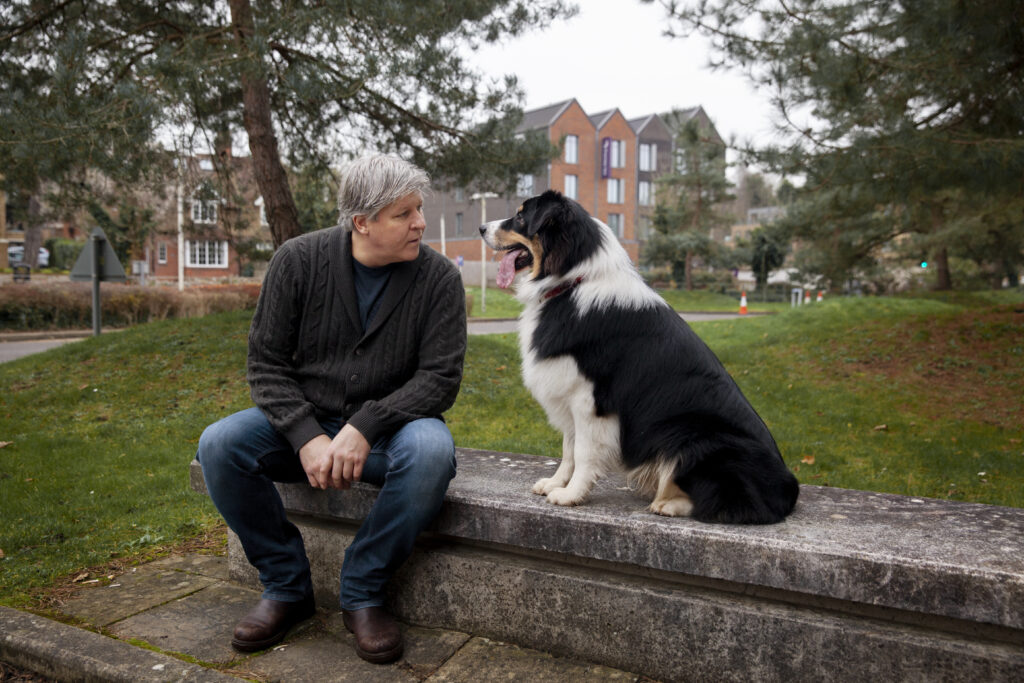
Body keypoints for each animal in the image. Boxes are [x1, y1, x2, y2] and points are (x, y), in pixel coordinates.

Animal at [479, 191, 798, 524]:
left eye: (520, 217)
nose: (480, 228)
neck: (572, 280)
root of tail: (788, 489)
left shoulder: (590, 400)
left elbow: (583, 452)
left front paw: (571, 495)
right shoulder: (570, 392)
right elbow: (568, 448)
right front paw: (556, 483)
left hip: (695, 438)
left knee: (729, 503)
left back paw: (667, 504)